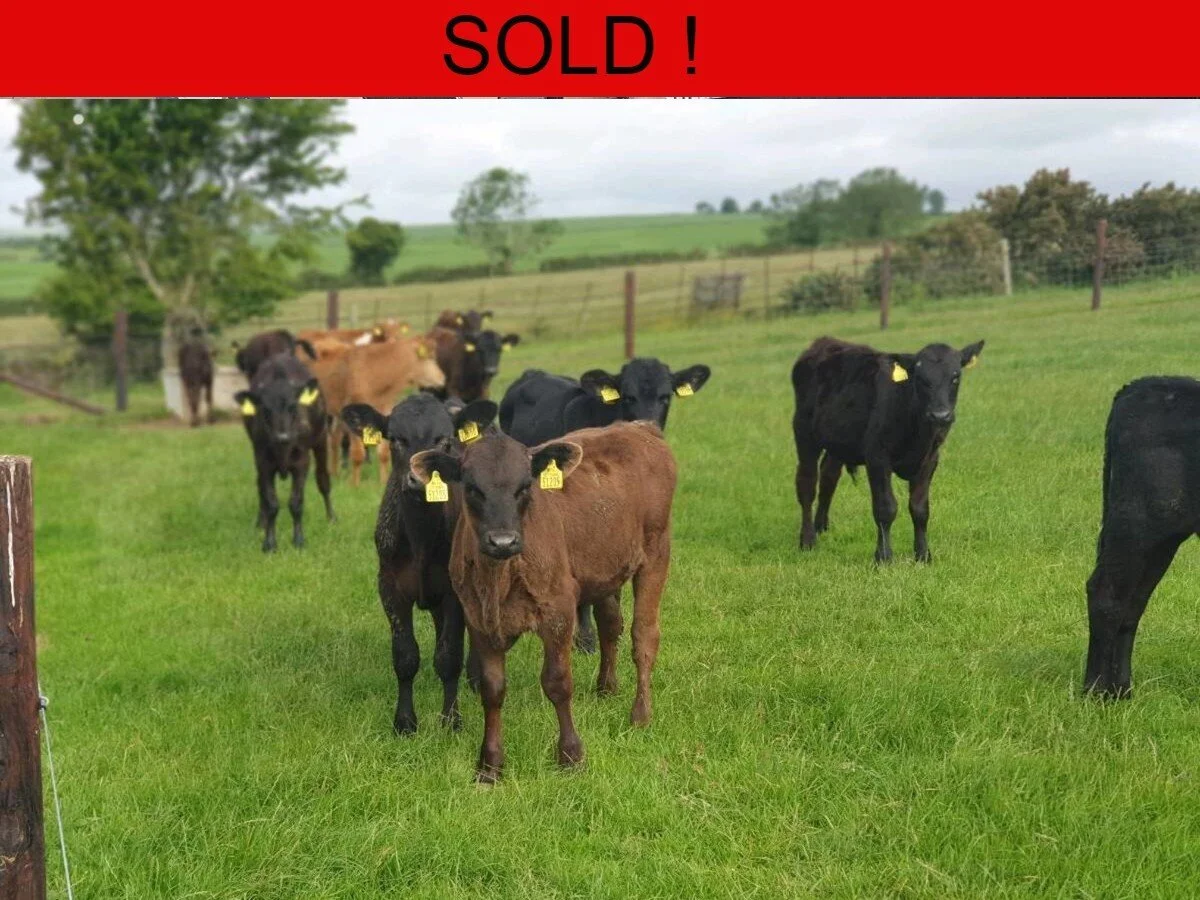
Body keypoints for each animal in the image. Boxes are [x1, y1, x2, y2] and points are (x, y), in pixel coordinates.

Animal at [233, 352, 335, 552]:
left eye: (293, 407)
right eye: (265, 410)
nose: (283, 436)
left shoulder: (302, 461)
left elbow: (296, 503)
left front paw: (299, 541)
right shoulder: (263, 461)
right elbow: (271, 502)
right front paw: (269, 543)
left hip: (321, 441)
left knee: (323, 480)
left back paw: (331, 518)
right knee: (260, 489)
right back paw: (261, 523)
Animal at [340, 395, 494, 734]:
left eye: (443, 440)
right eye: (396, 439)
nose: (417, 479)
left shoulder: (454, 590)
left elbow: (449, 656)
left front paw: (451, 721)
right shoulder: (389, 586)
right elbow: (405, 656)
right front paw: (405, 722)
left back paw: (477, 679)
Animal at [409, 420, 677, 783]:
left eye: (525, 486)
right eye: (472, 487)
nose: (503, 541)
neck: (500, 577)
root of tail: (637, 427)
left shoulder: (559, 612)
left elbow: (558, 682)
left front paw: (571, 755)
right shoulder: (478, 618)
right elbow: (492, 689)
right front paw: (490, 765)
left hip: (655, 553)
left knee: (644, 636)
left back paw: (640, 714)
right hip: (606, 569)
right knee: (611, 626)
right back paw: (606, 688)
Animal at [791, 336, 984, 564]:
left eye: (956, 377)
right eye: (920, 379)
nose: (940, 415)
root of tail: (823, 342)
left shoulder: (929, 460)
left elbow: (920, 509)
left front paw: (923, 555)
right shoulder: (877, 457)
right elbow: (886, 508)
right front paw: (883, 557)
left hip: (837, 441)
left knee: (828, 478)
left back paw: (821, 526)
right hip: (804, 433)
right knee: (807, 485)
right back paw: (808, 540)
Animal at [1084, 377, 1200, 699]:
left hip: (1161, 538)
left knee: (1133, 603)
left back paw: (1121, 690)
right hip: (1138, 522)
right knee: (1107, 594)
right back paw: (1096, 691)